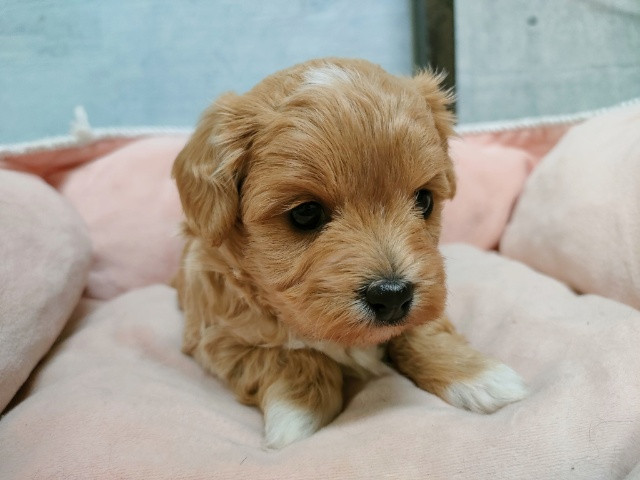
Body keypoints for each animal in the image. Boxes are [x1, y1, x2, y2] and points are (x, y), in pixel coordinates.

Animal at [172, 58, 527, 449]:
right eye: (305, 213)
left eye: (424, 200)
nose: (393, 296)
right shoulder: (216, 340)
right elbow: (291, 357)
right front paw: (295, 416)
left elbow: (422, 331)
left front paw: (481, 377)